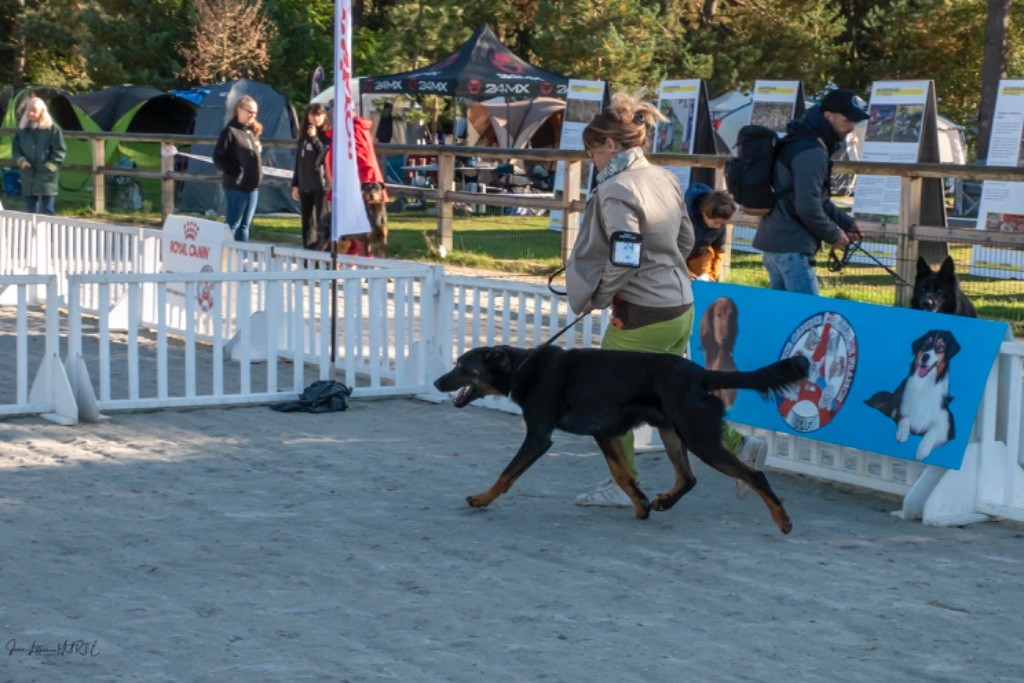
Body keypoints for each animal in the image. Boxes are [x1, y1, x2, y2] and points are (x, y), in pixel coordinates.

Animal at [432, 348, 806, 532]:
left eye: (462, 365)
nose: (437, 382)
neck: (523, 365)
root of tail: (701, 373)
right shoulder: (605, 433)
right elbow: (623, 475)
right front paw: (641, 505)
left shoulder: (539, 437)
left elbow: (506, 474)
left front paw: (481, 499)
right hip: (673, 432)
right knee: (688, 478)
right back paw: (664, 501)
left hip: (699, 437)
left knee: (754, 475)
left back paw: (783, 519)